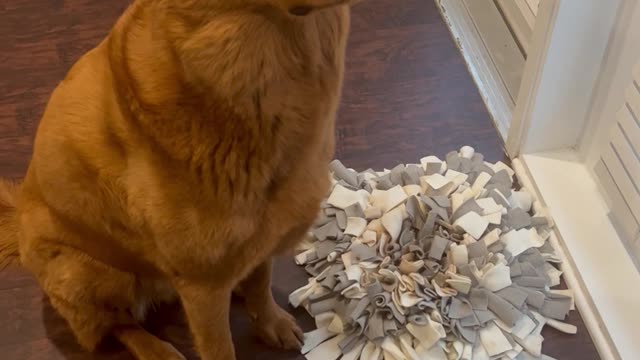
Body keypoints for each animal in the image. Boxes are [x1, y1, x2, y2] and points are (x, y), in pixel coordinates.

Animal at [0, 1, 356, 358]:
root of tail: (17, 224)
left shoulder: (266, 233)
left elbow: (260, 282)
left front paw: (271, 323)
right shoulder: (202, 288)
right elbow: (219, 346)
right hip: (85, 273)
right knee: (118, 324)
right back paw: (156, 349)